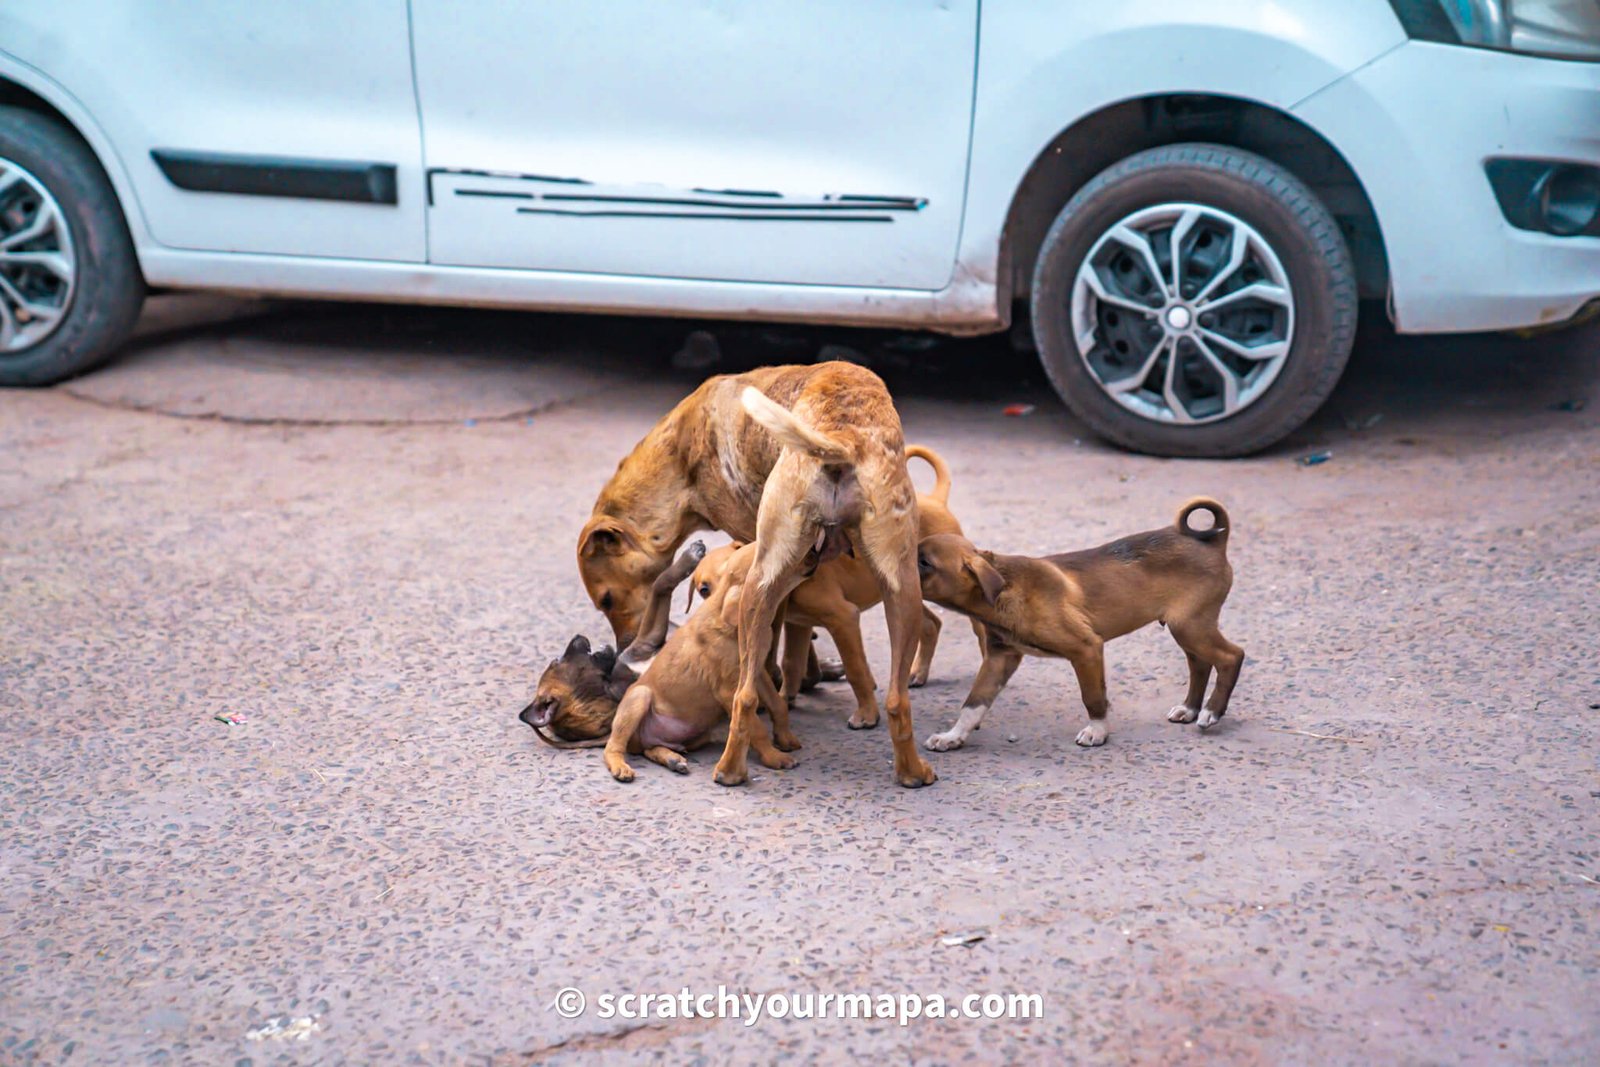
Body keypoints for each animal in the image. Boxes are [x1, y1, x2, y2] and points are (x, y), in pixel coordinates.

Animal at [579, 363, 934, 790]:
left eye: (607, 600)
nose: (625, 651)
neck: (683, 455)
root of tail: (841, 438)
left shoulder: (756, 554)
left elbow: (777, 647)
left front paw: (791, 687)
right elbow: (796, 640)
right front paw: (807, 680)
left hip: (758, 586)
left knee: (743, 695)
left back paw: (732, 769)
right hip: (900, 592)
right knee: (897, 700)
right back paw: (910, 770)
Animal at [915, 499, 1235, 751]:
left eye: (925, 562)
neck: (1007, 589)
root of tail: (1214, 543)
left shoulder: (1086, 648)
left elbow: (1093, 696)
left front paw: (1098, 731)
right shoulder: (1000, 658)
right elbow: (973, 703)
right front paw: (953, 736)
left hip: (1191, 626)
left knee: (1232, 657)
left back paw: (1211, 712)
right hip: (1188, 629)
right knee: (1200, 664)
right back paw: (1190, 708)